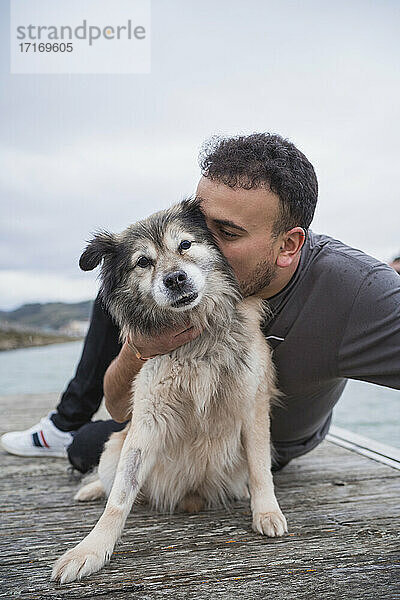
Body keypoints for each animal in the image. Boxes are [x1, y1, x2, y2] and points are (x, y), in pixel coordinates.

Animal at [51, 199, 288, 584]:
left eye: (186, 245)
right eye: (143, 261)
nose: (175, 279)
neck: (197, 340)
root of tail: (191, 495)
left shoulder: (252, 403)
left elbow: (259, 467)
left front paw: (266, 512)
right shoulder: (147, 417)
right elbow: (120, 496)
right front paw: (90, 550)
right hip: (114, 446)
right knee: (111, 480)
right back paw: (90, 489)